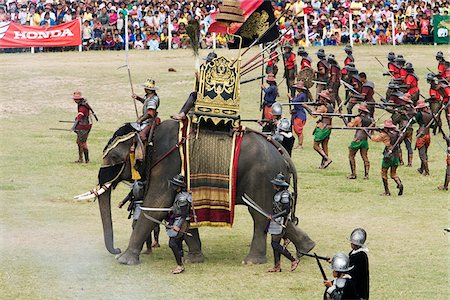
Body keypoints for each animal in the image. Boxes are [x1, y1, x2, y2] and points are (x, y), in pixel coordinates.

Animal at [76, 119, 316, 264]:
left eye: (114, 157)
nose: (115, 249)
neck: (150, 132)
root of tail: (283, 153)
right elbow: (180, 211)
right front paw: (194, 259)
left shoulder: (169, 163)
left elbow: (157, 205)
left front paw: (125, 261)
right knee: (275, 214)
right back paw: (307, 248)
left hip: (262, 176)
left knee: (260, 215)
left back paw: (252, 261)